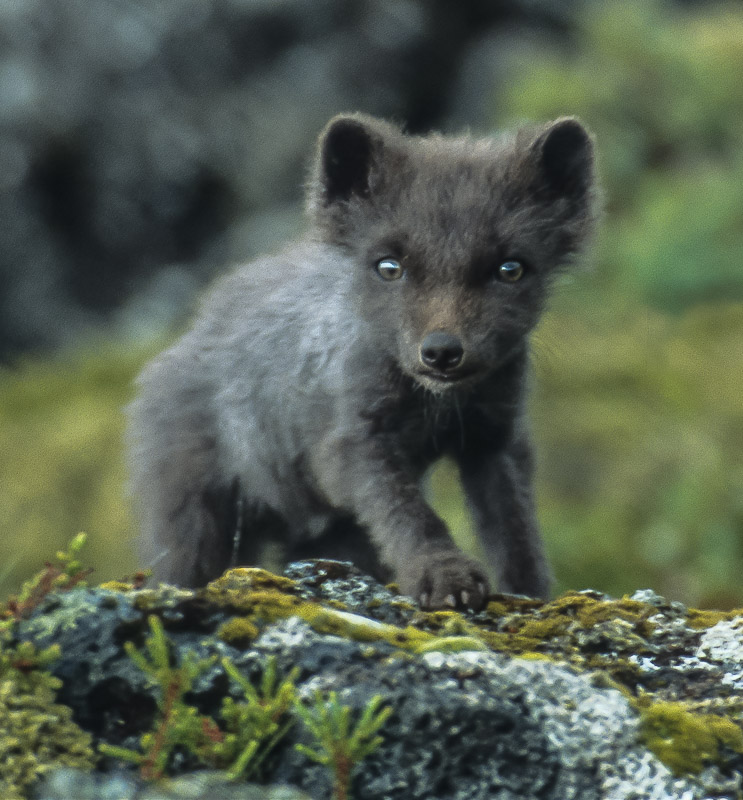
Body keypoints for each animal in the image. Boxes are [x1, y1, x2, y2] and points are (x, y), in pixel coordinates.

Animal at [125, 112, 596, 608]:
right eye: (388, 267)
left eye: (511, 269)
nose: (442, 352)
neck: (439, 406)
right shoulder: (354, 444)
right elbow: (410, 513)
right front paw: (445, 576)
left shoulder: (496, 440)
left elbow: (516, 531)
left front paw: (532, 595)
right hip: (197, 522)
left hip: (329, 535)